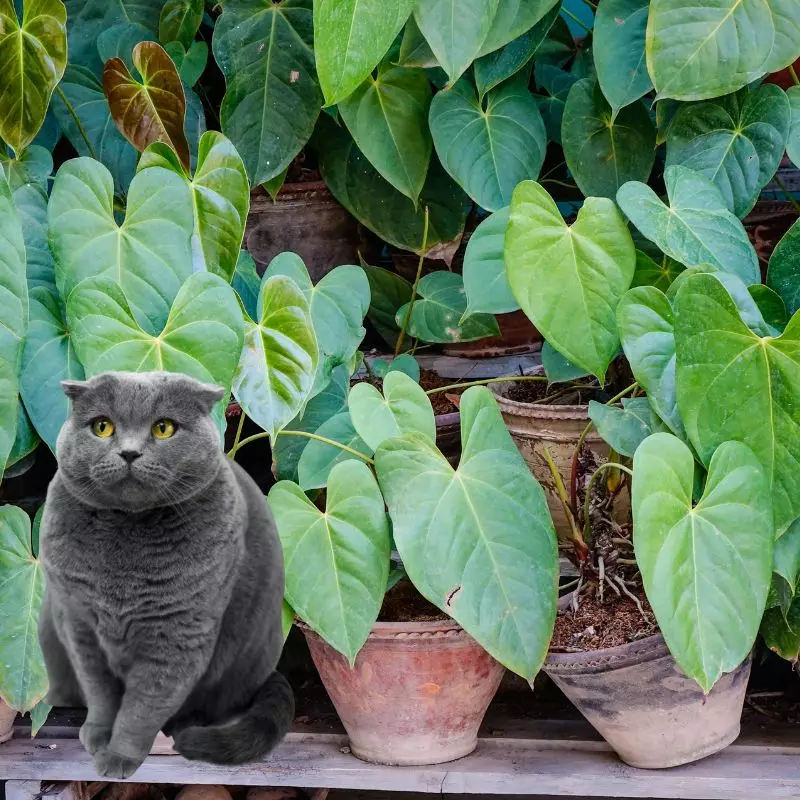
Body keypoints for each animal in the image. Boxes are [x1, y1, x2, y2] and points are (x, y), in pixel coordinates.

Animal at [38, 372, 294, 780]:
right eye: (102, 426)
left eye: (163, 428)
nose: (129, 452)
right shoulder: (79, 625)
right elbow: (100, 692)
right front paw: (98, 735)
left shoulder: (177, 632)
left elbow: (143, 706)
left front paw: (119, 757)